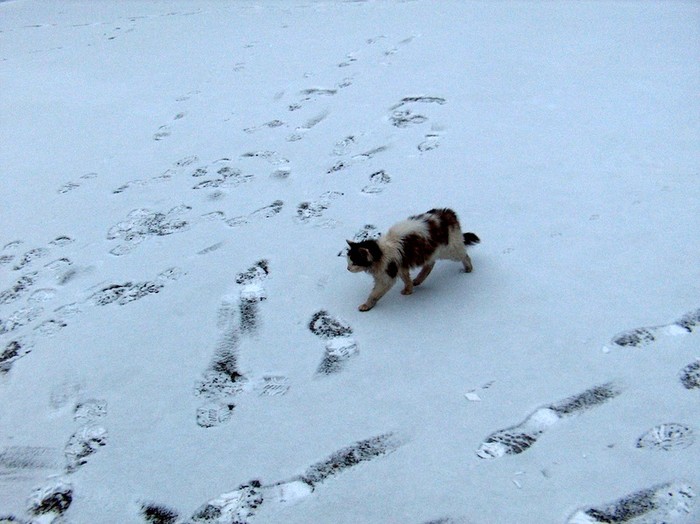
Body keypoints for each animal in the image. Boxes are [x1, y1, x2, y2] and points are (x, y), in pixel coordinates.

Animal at [346, 208, 480, 311]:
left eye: (355, 262)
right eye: (348, 261)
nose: (348, 268)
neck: (380, 251)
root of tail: (448, 213)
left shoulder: (387, 277)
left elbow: (374, 294)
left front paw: (367, 305)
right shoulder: (401, 267)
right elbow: (406, 280)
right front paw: (409, 290)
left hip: (450, 250)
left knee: (464, 255)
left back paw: (468, 268)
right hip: (430, 252)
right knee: (430, 264)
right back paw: (418, 280)